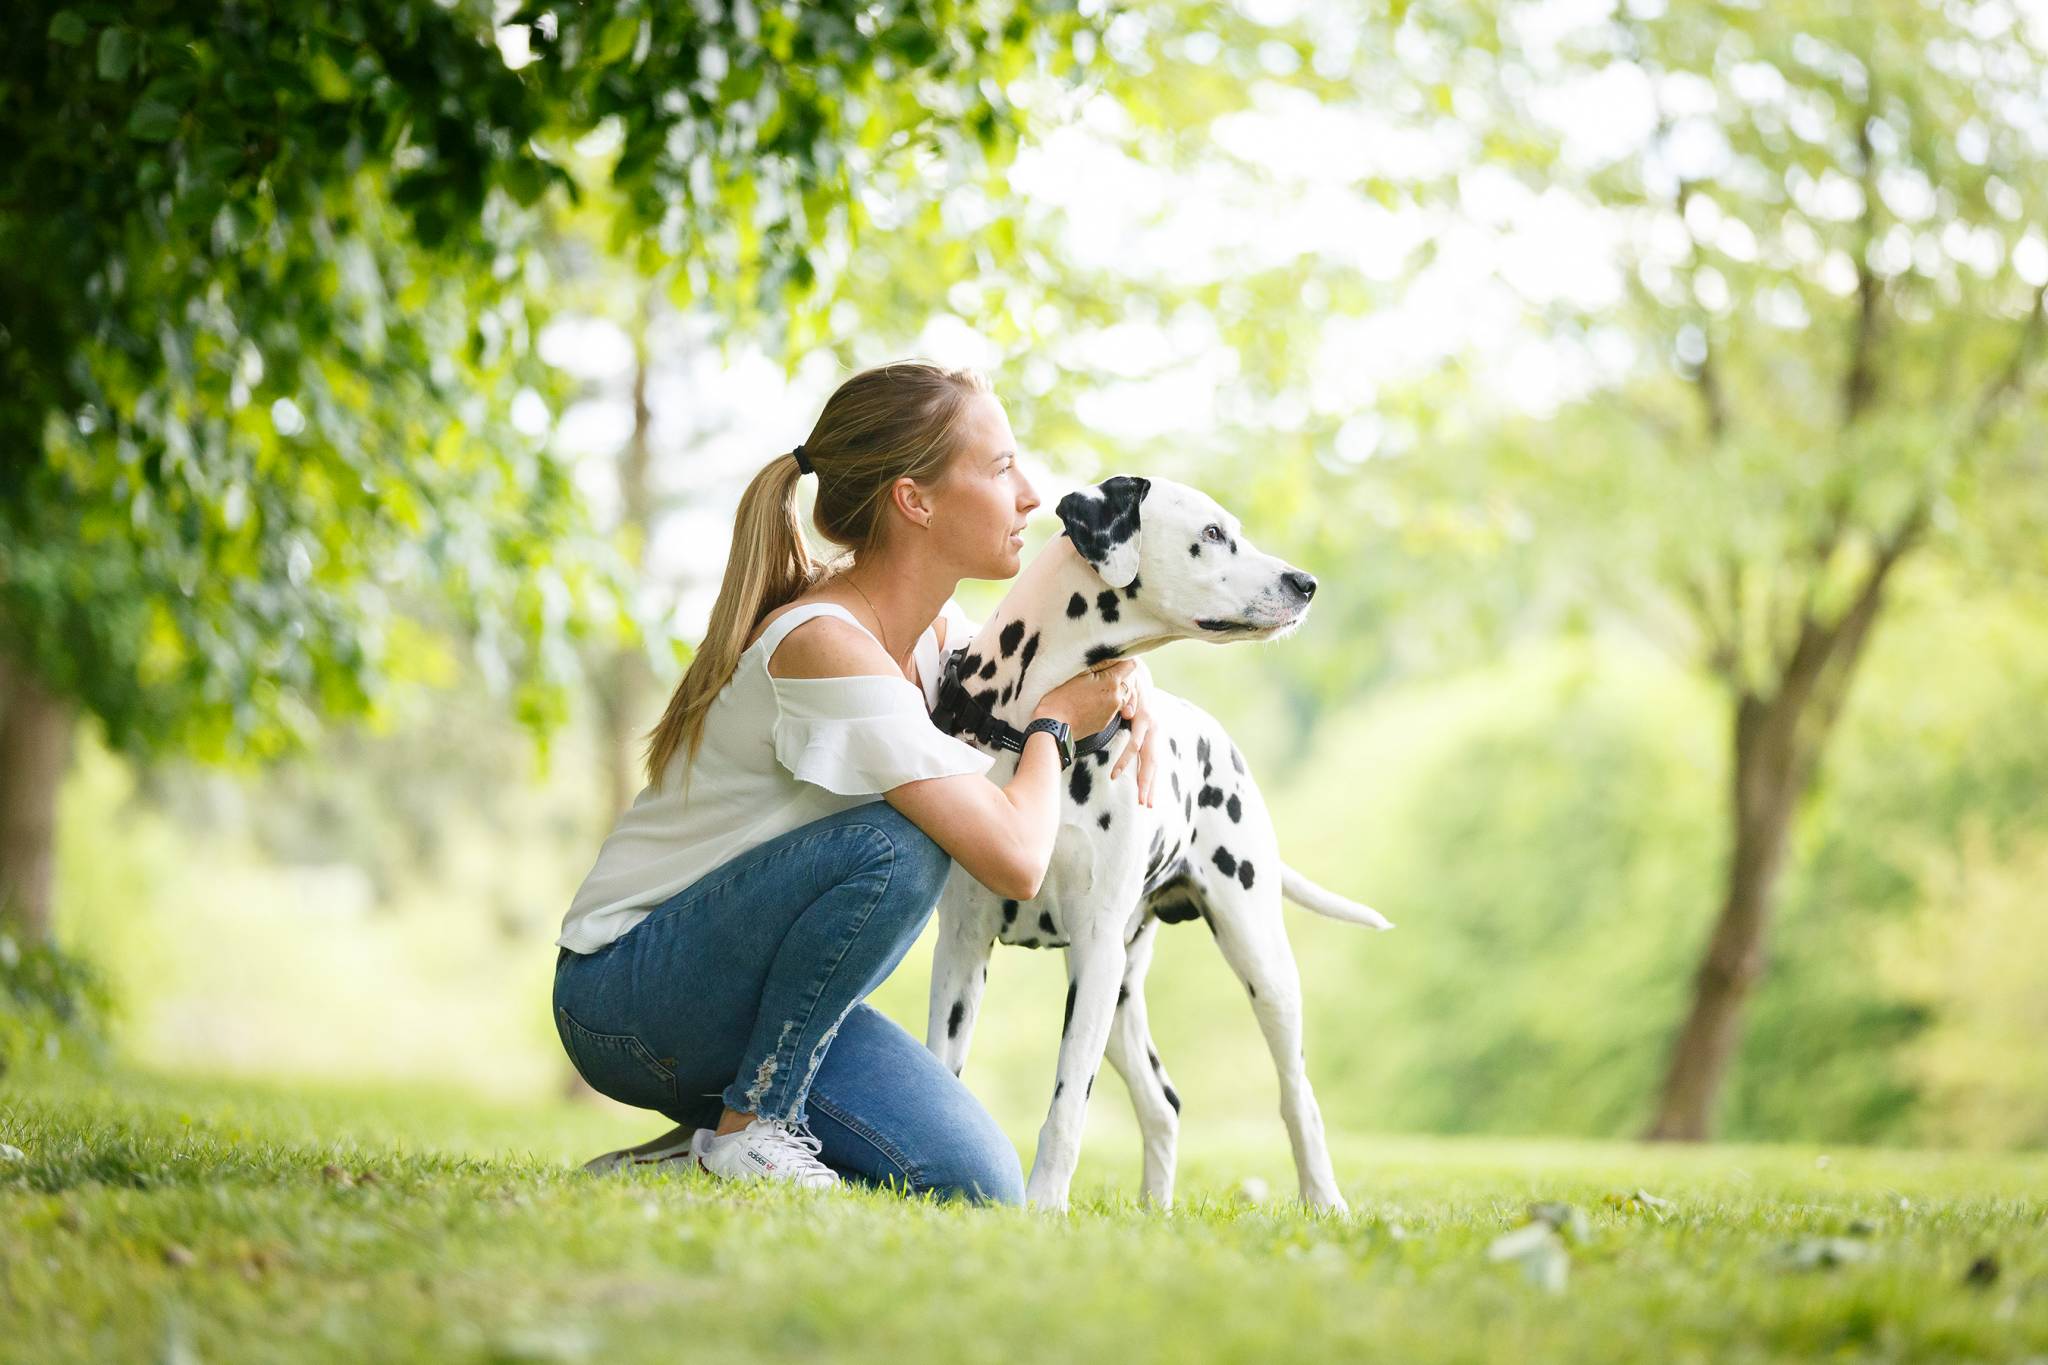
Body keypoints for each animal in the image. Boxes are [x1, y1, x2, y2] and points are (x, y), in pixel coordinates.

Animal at [925, 474, 1392, 1211]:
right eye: (1211, 534)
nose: (1307, 583)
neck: (1032, 729)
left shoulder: (1094, 953)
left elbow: (1067, 1108)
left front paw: (1044, 1207)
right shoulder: (964, 949)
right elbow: (945, 1069)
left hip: (1255, 964)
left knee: (1298, 1096)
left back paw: (1324, 1200)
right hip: (1119, 993)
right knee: (1162, 1102)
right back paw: (1155, 1211)